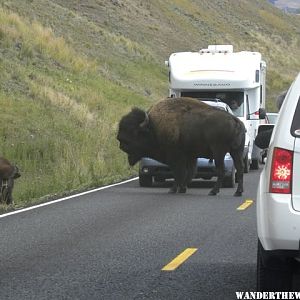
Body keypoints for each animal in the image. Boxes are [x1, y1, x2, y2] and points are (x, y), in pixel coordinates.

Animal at [116, 97, 245, 197]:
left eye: (134, 132)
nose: (121, 144)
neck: (153, 127)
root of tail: (235, 120)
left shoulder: (175, 156)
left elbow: (178, 173)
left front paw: (173, 189)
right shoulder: (190, 156)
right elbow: (189, 173)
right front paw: (182, 189)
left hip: (219, 152)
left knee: (221, 171)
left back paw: (213, 191)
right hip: (236, 151)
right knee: (240, 169)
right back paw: (238, 192)